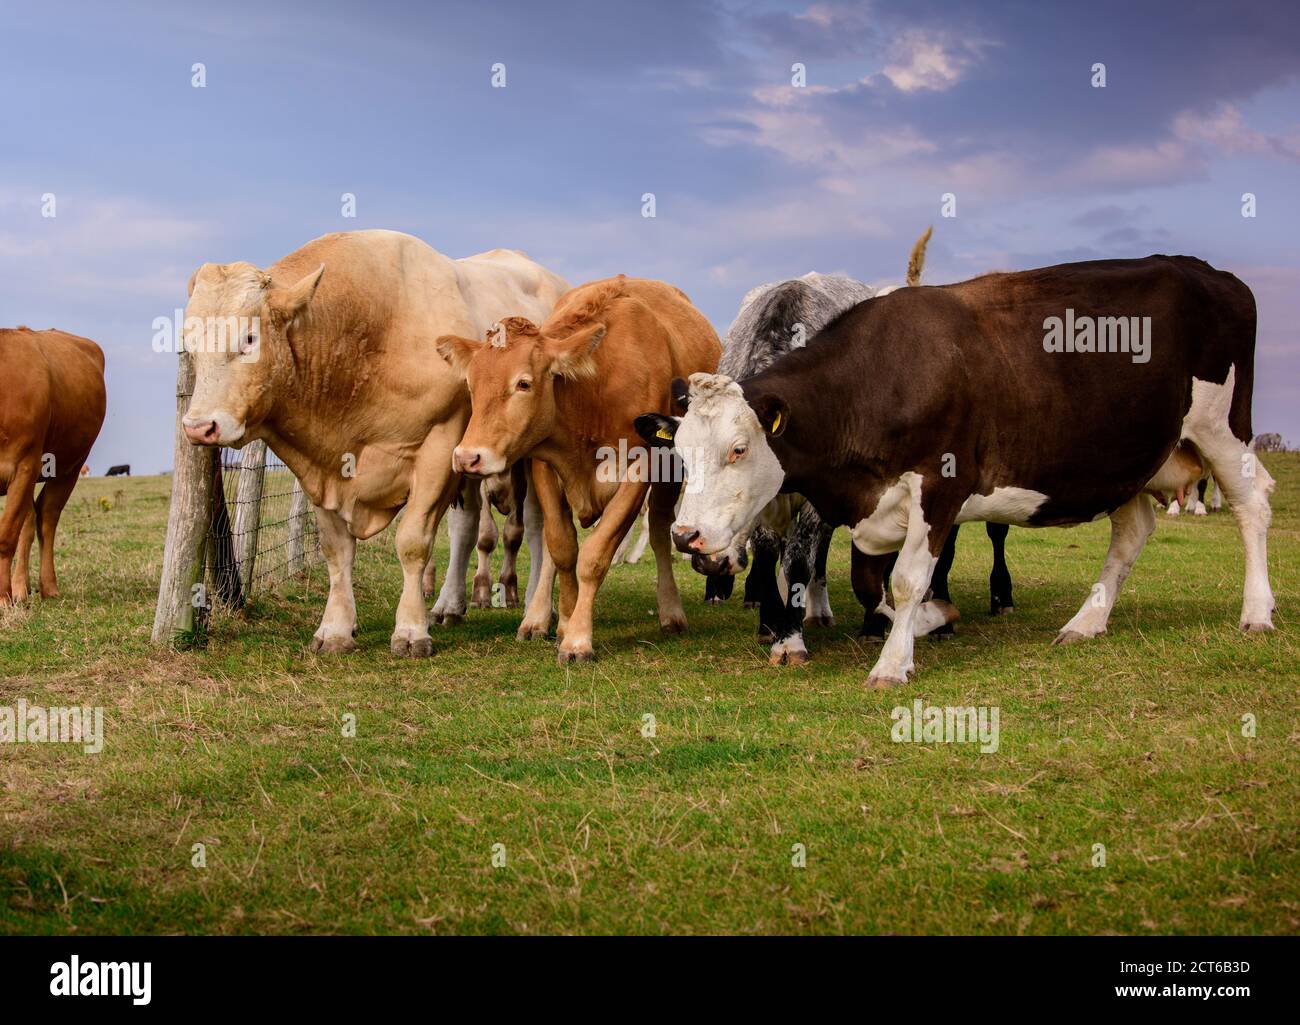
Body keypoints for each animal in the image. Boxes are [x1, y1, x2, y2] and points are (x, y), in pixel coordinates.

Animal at [0, 323, 106, 603]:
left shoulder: (24, 466)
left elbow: (6, 536)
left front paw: (3, 598)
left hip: (69, 468)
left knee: (46, 519)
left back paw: (46, 586)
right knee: (30, 522)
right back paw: (22, 587)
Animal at [180, 227, 566, 652]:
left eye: (249, 338)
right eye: (190, 345)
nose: (199, 427)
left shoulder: (439, 442)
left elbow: (413, 542)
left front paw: (411, 630)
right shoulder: (323, 467)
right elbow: (336, 550)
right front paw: (336, 629)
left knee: (535, 527)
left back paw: (535, 608)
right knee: (467, 529)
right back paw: (449, 604)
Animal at [436, 275, 722, 660]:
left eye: (523, 383)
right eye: (471, 384)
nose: (468, 457)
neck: (593, 394)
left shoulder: (640, 471)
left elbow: (594, 555)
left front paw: (577, 638)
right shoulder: (544, 465)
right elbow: (561, 548)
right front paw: (564, 623)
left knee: (661, 530)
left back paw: (671, 611)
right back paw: (536, 618)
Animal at [642, 256, 1279, 686]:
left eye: (739, 449)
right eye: (683, 453)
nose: (686, 534)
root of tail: (1210, 272)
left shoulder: (938, 486)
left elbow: (904, 579)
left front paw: (894, 660)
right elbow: (873, 584)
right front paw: (928, 619)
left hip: (1222, 429)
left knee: (1252, 506)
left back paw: (1256, 612)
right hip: (1129, 461)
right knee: (1133, 533)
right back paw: (1087, 621)